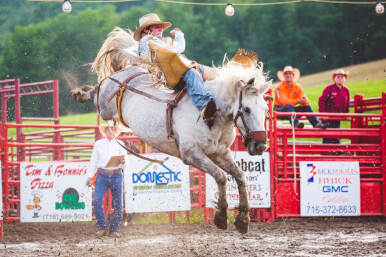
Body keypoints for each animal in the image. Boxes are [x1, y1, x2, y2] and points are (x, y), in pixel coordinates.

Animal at [72, 60, 272, 234]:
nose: (260, 145)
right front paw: (221, 217)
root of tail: (128, 71)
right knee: (96, 91)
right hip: (105, 105)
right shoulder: (191, 154)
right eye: (246, 109)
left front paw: (243, 220)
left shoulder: (220, 153)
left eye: (265, 110)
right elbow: (221, 177)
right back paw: (80, 93)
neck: (211, 113)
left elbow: (240, 176)